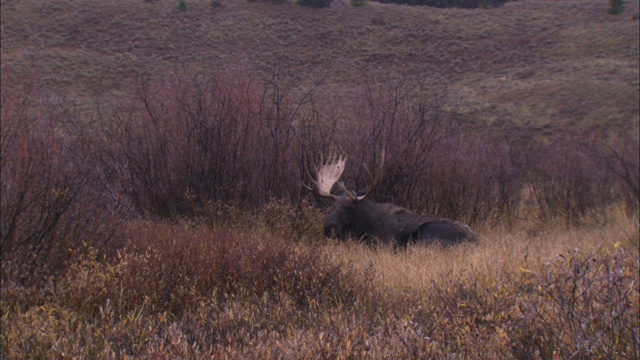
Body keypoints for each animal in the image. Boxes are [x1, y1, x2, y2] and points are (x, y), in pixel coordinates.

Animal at [306, 153, 480, 246]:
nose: (328, 227)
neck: (362, 225)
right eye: (333, 205)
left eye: (349, 207)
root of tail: (476, 241)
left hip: (427, 236)